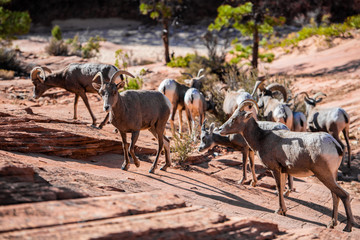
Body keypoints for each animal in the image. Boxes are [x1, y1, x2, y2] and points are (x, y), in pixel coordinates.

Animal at [218, 98, 356, 232]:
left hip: (324, 175)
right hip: (331, 176)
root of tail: (335, 146)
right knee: (335, 196)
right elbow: (282, 188)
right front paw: (283, 211)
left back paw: (347, 227)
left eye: (234, 119)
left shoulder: (275, 169)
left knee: (344, 195)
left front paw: (280, 211)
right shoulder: (283, 171)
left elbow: (279, 189)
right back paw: (331, 224)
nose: (220, 130)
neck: (261, 139)